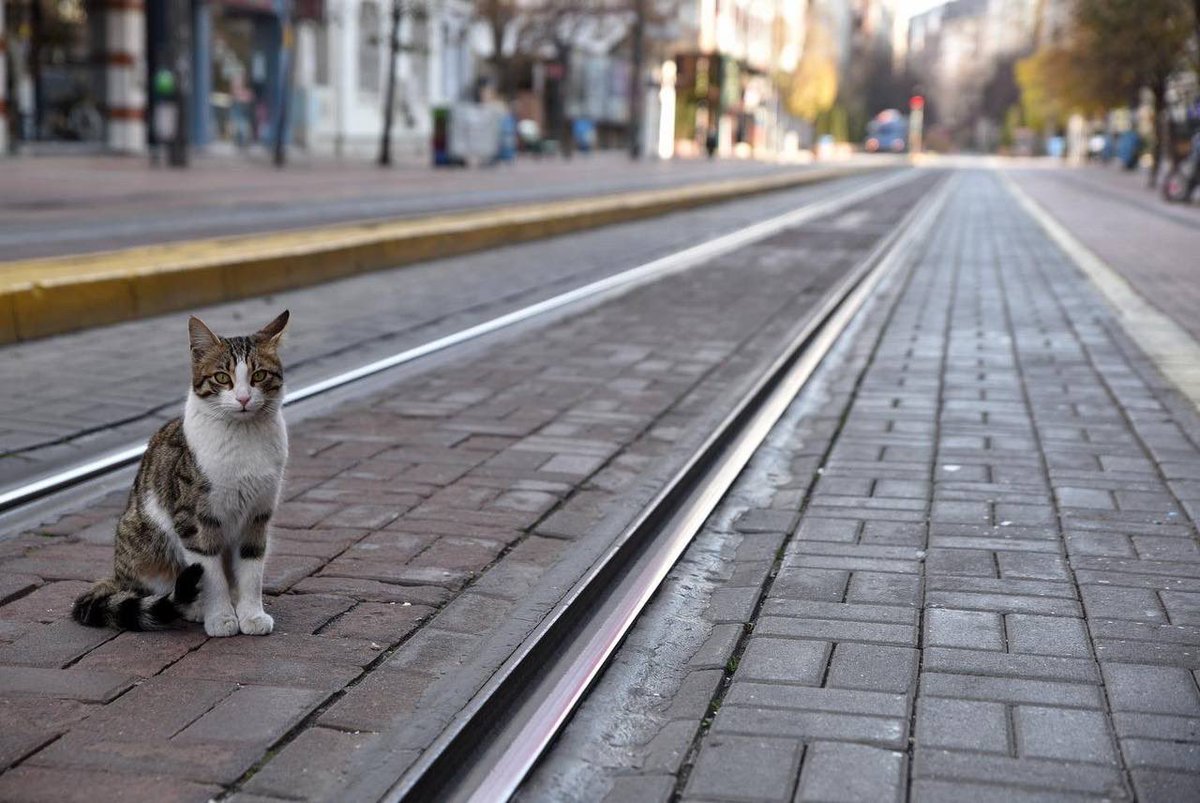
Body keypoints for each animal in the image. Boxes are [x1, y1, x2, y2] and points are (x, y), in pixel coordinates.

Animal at [73, 309, 292, 633]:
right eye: (222, 377)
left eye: (259, 375)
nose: (243, 399)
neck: (243, 438)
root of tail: (117, 576)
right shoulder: (194, 519)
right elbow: (211, 574)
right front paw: (221, 618)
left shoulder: (258, 513)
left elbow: (252, 569)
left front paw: (251, 615)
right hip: (147, 543)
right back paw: (195, 608)